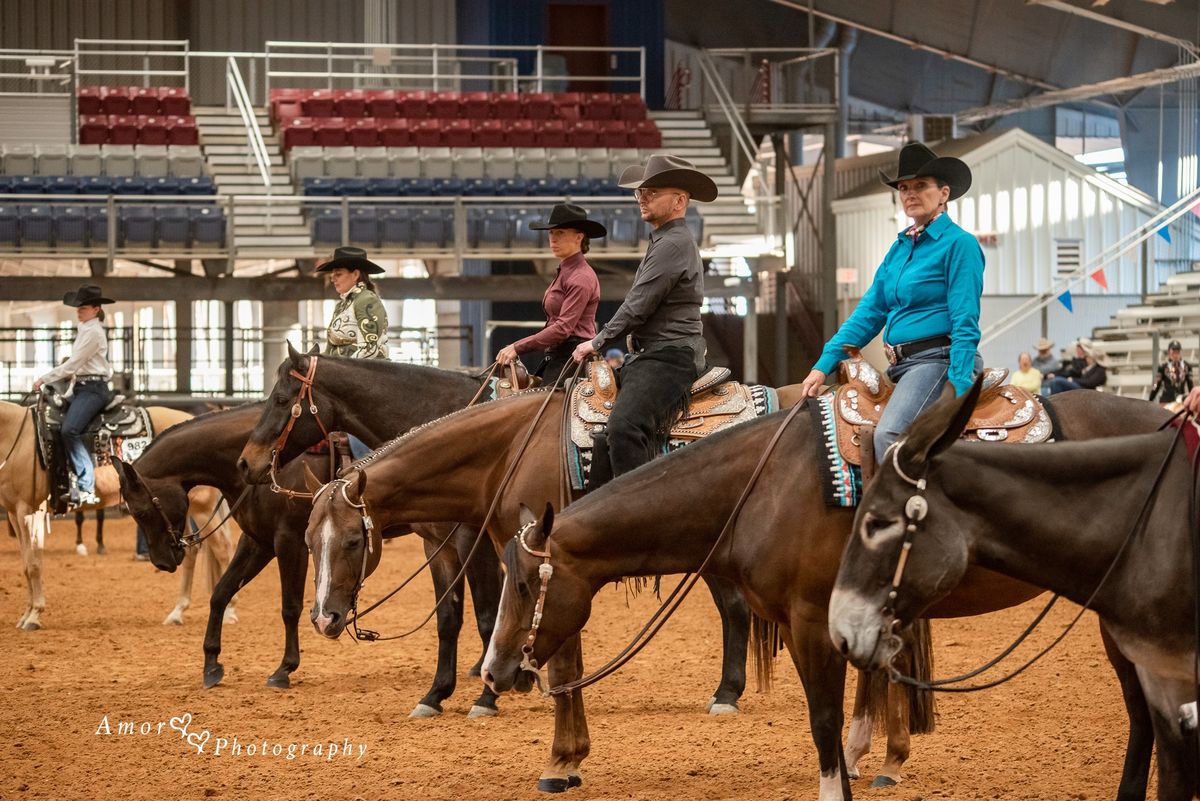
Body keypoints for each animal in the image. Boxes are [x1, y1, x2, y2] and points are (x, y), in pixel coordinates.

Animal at [0, 400, 232, 633]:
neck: (18, 439)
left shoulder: (30, 511)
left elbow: (34, 564)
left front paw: (34, 616)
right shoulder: (14, 514)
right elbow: (25, 564)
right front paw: (26, 615)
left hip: (202, 507)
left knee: (222, 548)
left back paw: (229, 612)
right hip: (177, 513)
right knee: (191, 551)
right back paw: (177, 612)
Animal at [114, 400, 504, 719]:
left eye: (141, 510)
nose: (163, 561)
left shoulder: (288, 542)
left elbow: (289, 607)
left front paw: (284, 669)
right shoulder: (257, 542)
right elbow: (220, 593)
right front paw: (211, 663)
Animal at [240, 347, 763, 714]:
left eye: (282, 399)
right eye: (311, 542)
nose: (324, 619)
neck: (505, 450)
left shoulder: (481, 543)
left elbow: (491, 615)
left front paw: (491, 693)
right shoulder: (446, 544)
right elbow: (452, 617)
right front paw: (439, 693)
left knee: (734, 608)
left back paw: (726, 694)